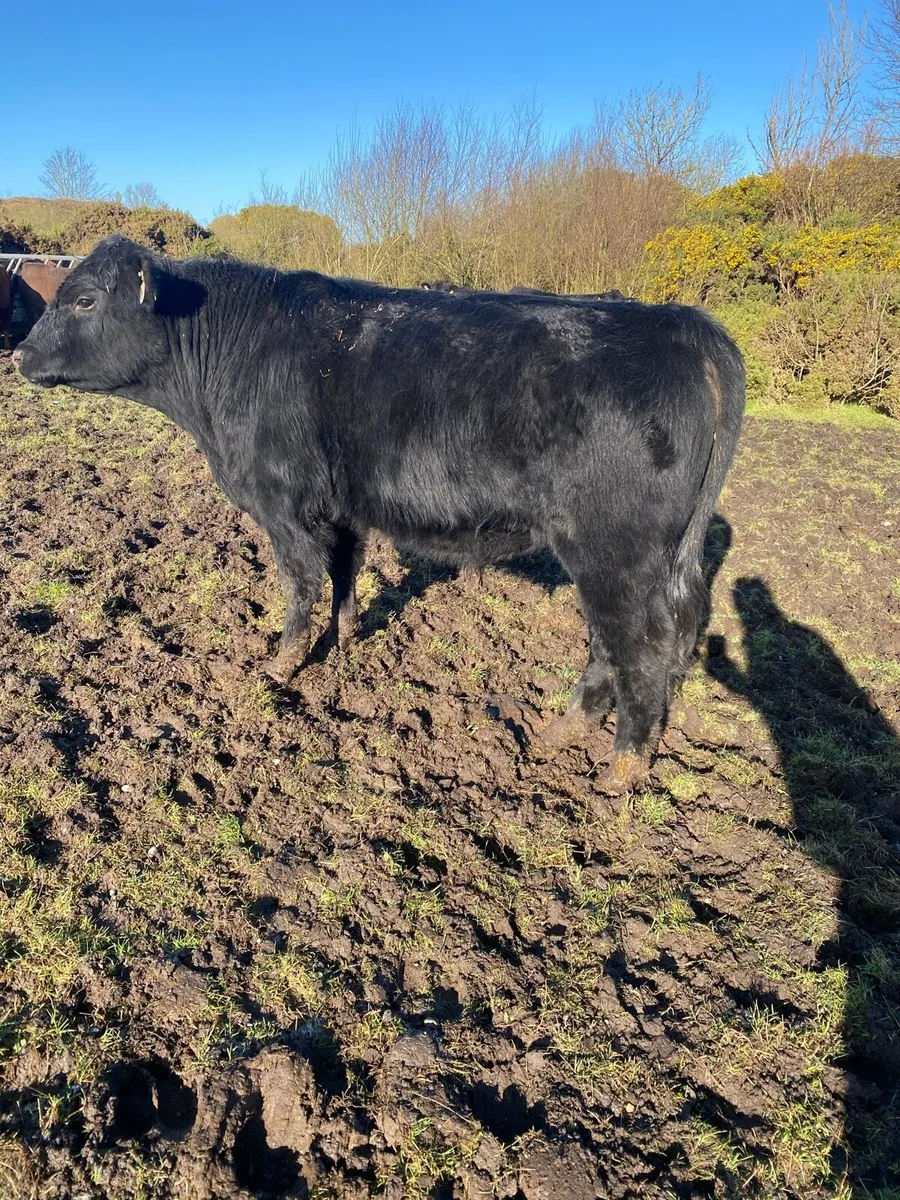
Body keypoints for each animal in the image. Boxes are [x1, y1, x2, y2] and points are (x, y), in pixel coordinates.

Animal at [13, 235, 745, 791]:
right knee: (623, 641)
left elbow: (301, 583)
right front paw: (344, 642)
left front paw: (281, 665)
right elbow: (344, 573)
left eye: (84, 298)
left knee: (636, 645)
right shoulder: (340, 507)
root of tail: (677, 322)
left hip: (613, 552)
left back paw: (622, 767)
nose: (17, 353)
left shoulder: (284, 504)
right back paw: (563, 731)